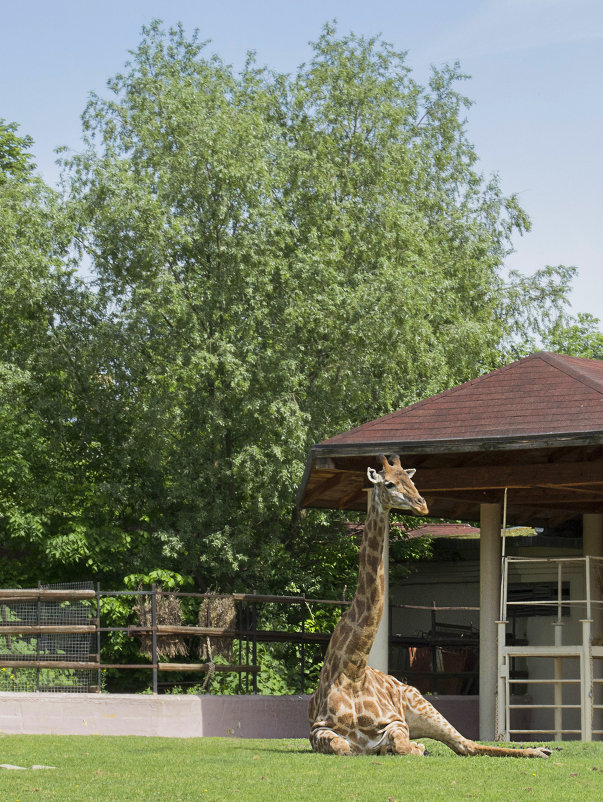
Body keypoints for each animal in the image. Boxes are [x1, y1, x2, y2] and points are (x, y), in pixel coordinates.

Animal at [312, 456, 552, 756]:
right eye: (389, 483)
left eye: (411, 480)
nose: (422, 504)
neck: (352, 669)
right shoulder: (318, 730)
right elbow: (343, 746)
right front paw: (396, 748)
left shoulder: (395, 722)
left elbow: (402, 744)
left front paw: (412, 747)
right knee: (466, 746)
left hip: (422, 703)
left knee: (467, 744)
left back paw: (540, 750)